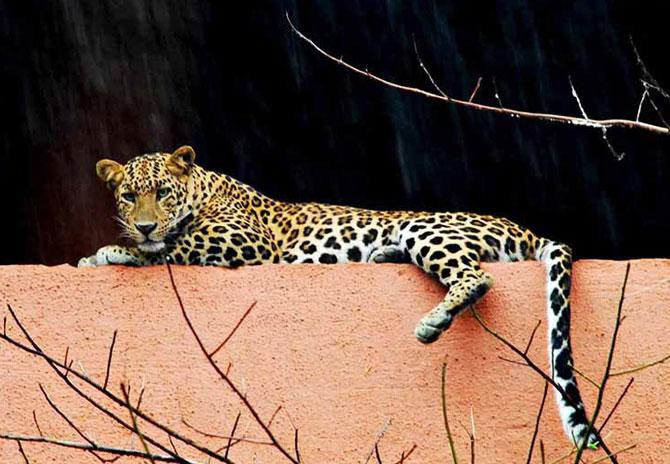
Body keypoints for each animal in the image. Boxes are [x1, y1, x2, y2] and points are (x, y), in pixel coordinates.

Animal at [81, 144, 600, 446]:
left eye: (162, 193)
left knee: (477, 278)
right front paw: (121, 246)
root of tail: (526, 229)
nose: (144, 223)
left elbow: (172, 246)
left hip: (427, 228)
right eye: (129, 196)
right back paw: (385, 255)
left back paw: (432, 322)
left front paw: (113, 251)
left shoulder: (246, 241)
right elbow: (166, 245)